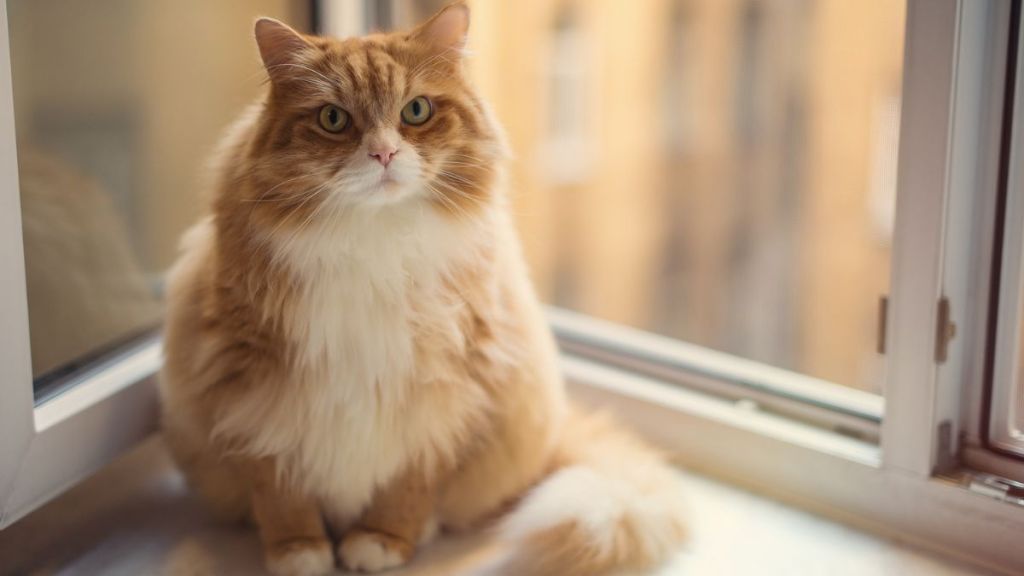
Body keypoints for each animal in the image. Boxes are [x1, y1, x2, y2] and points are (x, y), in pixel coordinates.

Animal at [159, 4, 688, 573]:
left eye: (415, 111)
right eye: (333, 119)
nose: (384, 154)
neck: (372, 242)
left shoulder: (445, 394)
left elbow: (410, 486)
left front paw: (382, 540)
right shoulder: (250, 387)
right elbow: (279, 490)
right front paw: (297, 550)